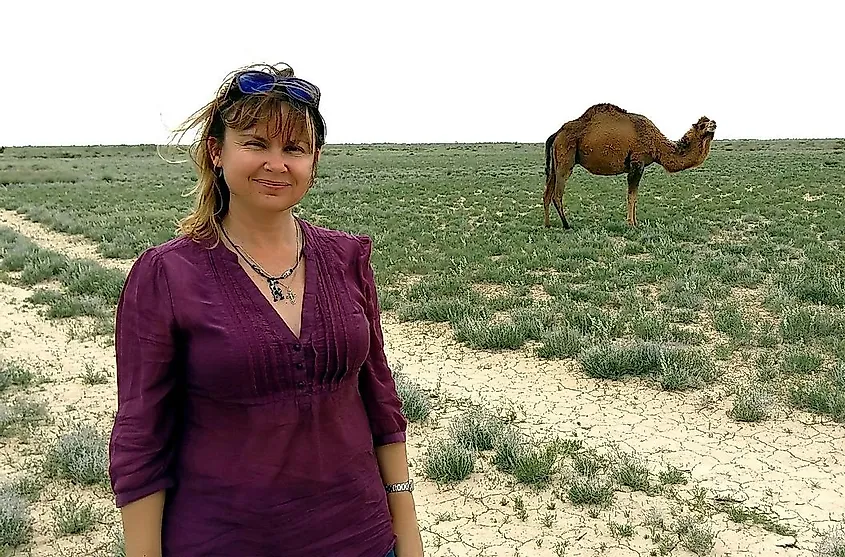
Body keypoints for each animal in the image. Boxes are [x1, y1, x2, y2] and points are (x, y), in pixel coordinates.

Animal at [544, 103, 716, 227]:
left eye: (709, 121)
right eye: (702, 125)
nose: (714, 123)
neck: (657, 145)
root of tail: (556, 134)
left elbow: (634, 196)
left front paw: (634, 222)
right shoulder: (637, 162)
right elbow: (631, 196)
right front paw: (632, 224)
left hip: (555, 163)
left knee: (547, 192)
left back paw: (547, 224)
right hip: (565, 158)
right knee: (557, 194)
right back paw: (567, 225)